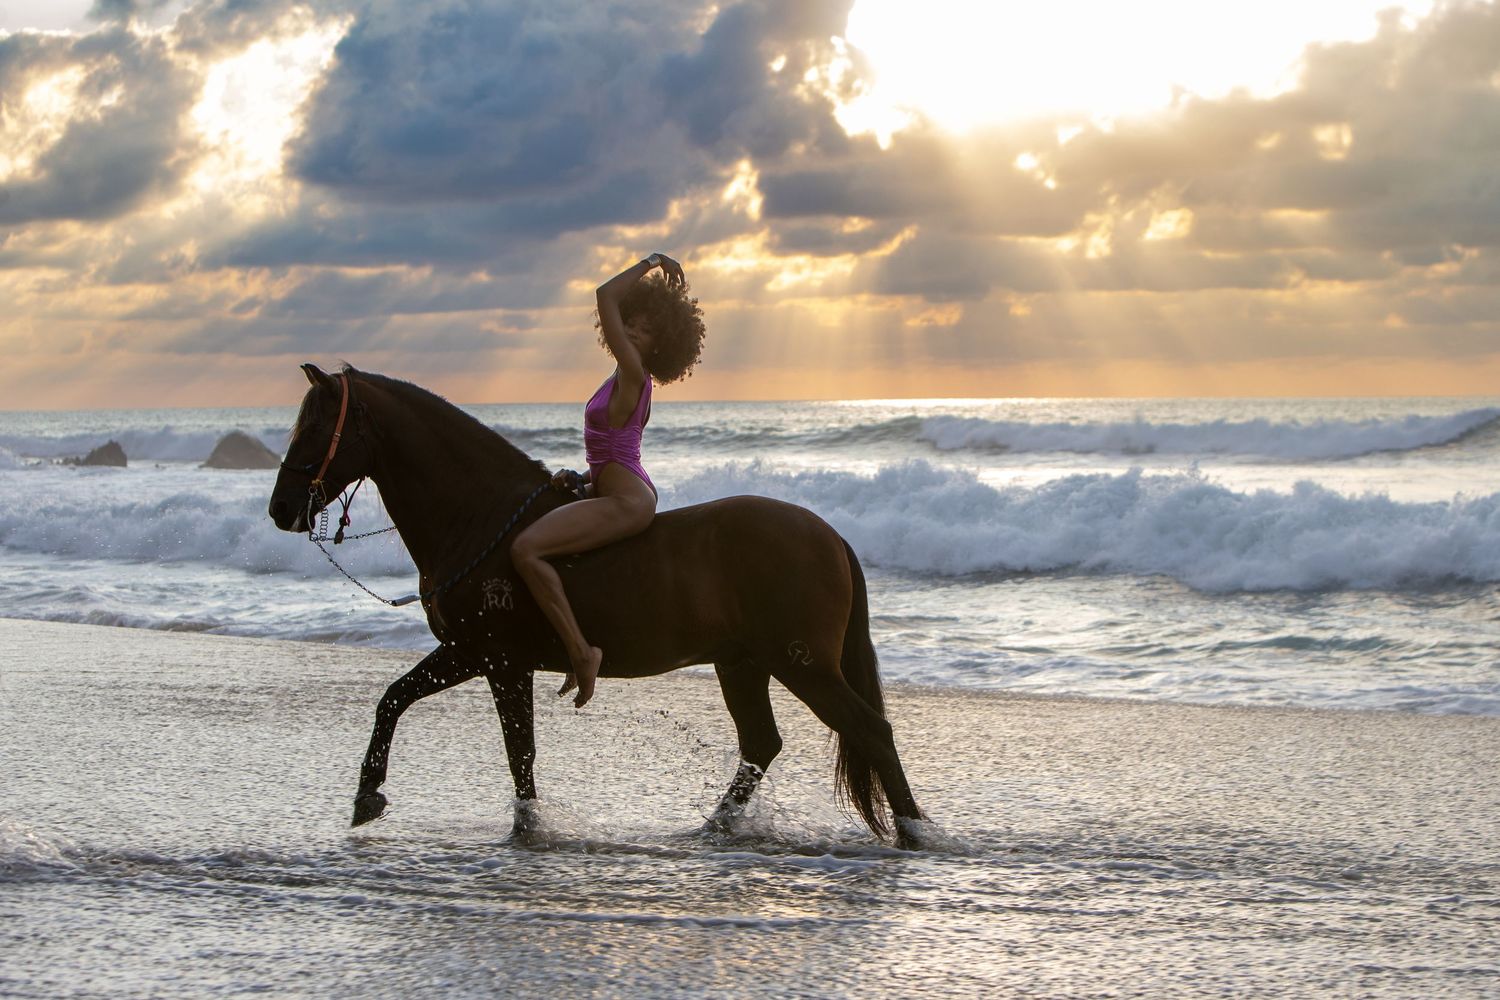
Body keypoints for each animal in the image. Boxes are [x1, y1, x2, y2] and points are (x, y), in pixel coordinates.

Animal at [267, 364, 926, 845]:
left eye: (315, 428)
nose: (281, 508)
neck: (483, 518)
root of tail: (827, 534)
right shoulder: (475, 656)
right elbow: (396, 701)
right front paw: (368, 795)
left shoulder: (494, 660)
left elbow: (516, 751)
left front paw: (524, 827)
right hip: (742, 664)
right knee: (761, 744)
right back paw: (713, 829)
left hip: (801, 664)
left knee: (870, 729)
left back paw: (914, 831)